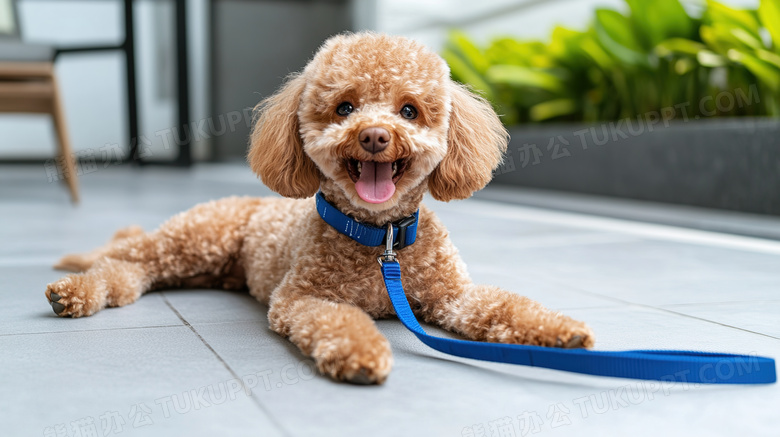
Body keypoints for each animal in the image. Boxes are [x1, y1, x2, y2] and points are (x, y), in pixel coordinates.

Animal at [45, 32, 596, 384]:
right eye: (345, 107)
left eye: (409, 110)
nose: (375, 136)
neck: (380, 240)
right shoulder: (303, 298)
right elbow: (340, 322)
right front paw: (360, 352)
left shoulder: (452, 296)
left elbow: (505, 305)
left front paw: (559, 332)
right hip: (190, 240)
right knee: (122, 263)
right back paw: (75, 291)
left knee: (134, 273)